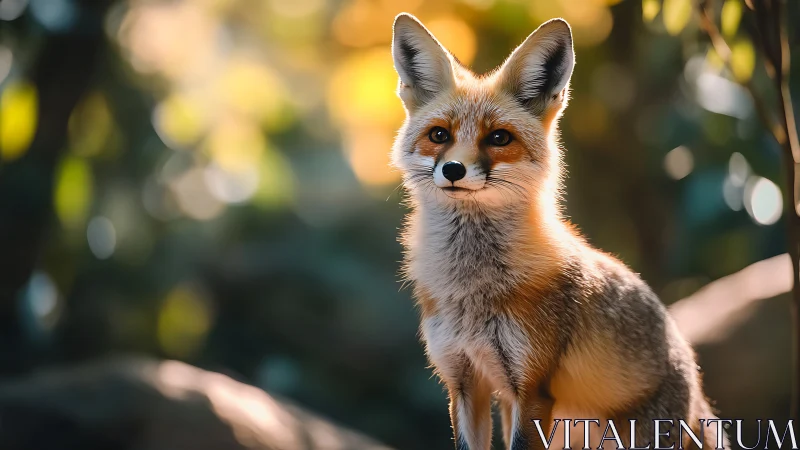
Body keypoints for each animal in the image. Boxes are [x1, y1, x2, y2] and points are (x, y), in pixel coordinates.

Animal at [390, 13, 727, 450]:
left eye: (498, 138)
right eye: (439, 135)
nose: (453, 170)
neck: (471, 289)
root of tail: (696, 385)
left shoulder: (532, 387)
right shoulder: (464, 384)